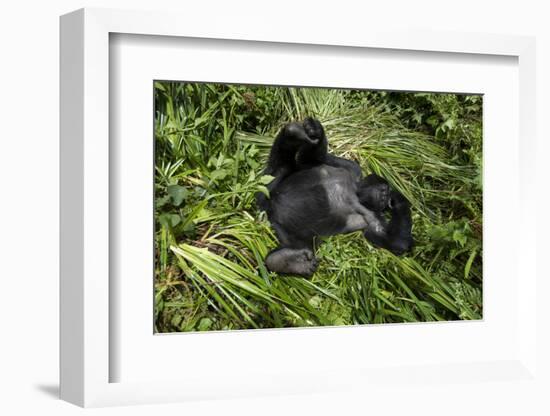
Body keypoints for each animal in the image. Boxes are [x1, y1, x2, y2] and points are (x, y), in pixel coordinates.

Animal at [258, 118, 414, 276]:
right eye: (384, 190)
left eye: (386, 194)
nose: (385, 198)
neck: (356, 192)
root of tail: (269, 211)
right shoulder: (352, 168)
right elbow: (311, 160)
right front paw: (316, 131)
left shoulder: (374, 217)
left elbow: (394, 241)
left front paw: (399, 200)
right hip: (267, 189)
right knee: (281, 166)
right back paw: (294, 132)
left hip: (285, 230)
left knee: (302, 247)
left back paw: (286, 261)